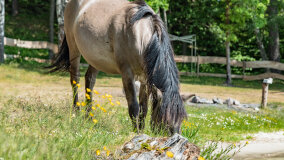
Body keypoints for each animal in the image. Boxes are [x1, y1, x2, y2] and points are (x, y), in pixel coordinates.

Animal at [48, 0, 187, 133]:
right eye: (167, 117)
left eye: (181, 118)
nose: (176, 134)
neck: (139, 33)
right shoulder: (127, 73)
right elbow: (134, 106)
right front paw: (136, 132)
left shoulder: (145, 78)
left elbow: (144, 108)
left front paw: (141, 130)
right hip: (74, 48)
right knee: (75, 80)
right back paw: (76, 112)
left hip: (95, 59)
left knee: (89, 80)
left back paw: (89, 117)